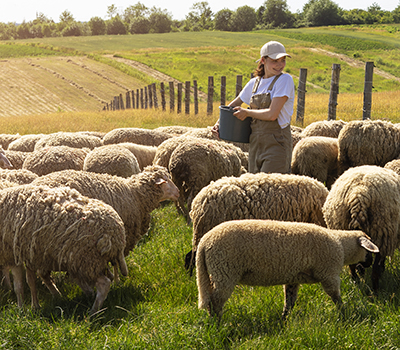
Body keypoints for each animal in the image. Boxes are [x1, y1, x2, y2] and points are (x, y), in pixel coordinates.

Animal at [0, 185, 127, 314]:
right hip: (92, 261)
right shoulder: (30, 255)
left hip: (87, 260)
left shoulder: (12, 254)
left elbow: (18, 286)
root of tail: (116, 233)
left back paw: (93, 311)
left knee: (104, 283)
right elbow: (31, 281)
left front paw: (21, 308)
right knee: (106, 278)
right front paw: (35, 306)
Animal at [197, 220, 378, 318]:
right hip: (224, 270)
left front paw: (284, 319)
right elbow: (336, 297)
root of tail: (204, 243)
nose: (370, 263)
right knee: (215, 301)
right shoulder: (329, 273)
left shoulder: (293, 279)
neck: (341, 245)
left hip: (215, 271)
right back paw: (217, 324)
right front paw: (345, 313)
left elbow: (289, 302)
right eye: (368, 250)